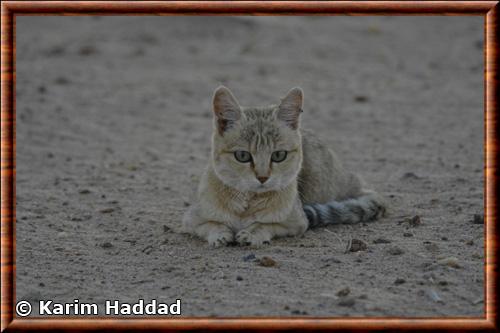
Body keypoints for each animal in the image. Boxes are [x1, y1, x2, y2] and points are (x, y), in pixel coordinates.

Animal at [182, 85, 384, 246]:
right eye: (242, 156)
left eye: (279, 155)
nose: (263, 177)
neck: (248, 203)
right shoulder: (190, 220)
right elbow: (212, 224)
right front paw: (221, 233)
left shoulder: (298, 223)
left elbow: (266, 224)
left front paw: (252, 233)